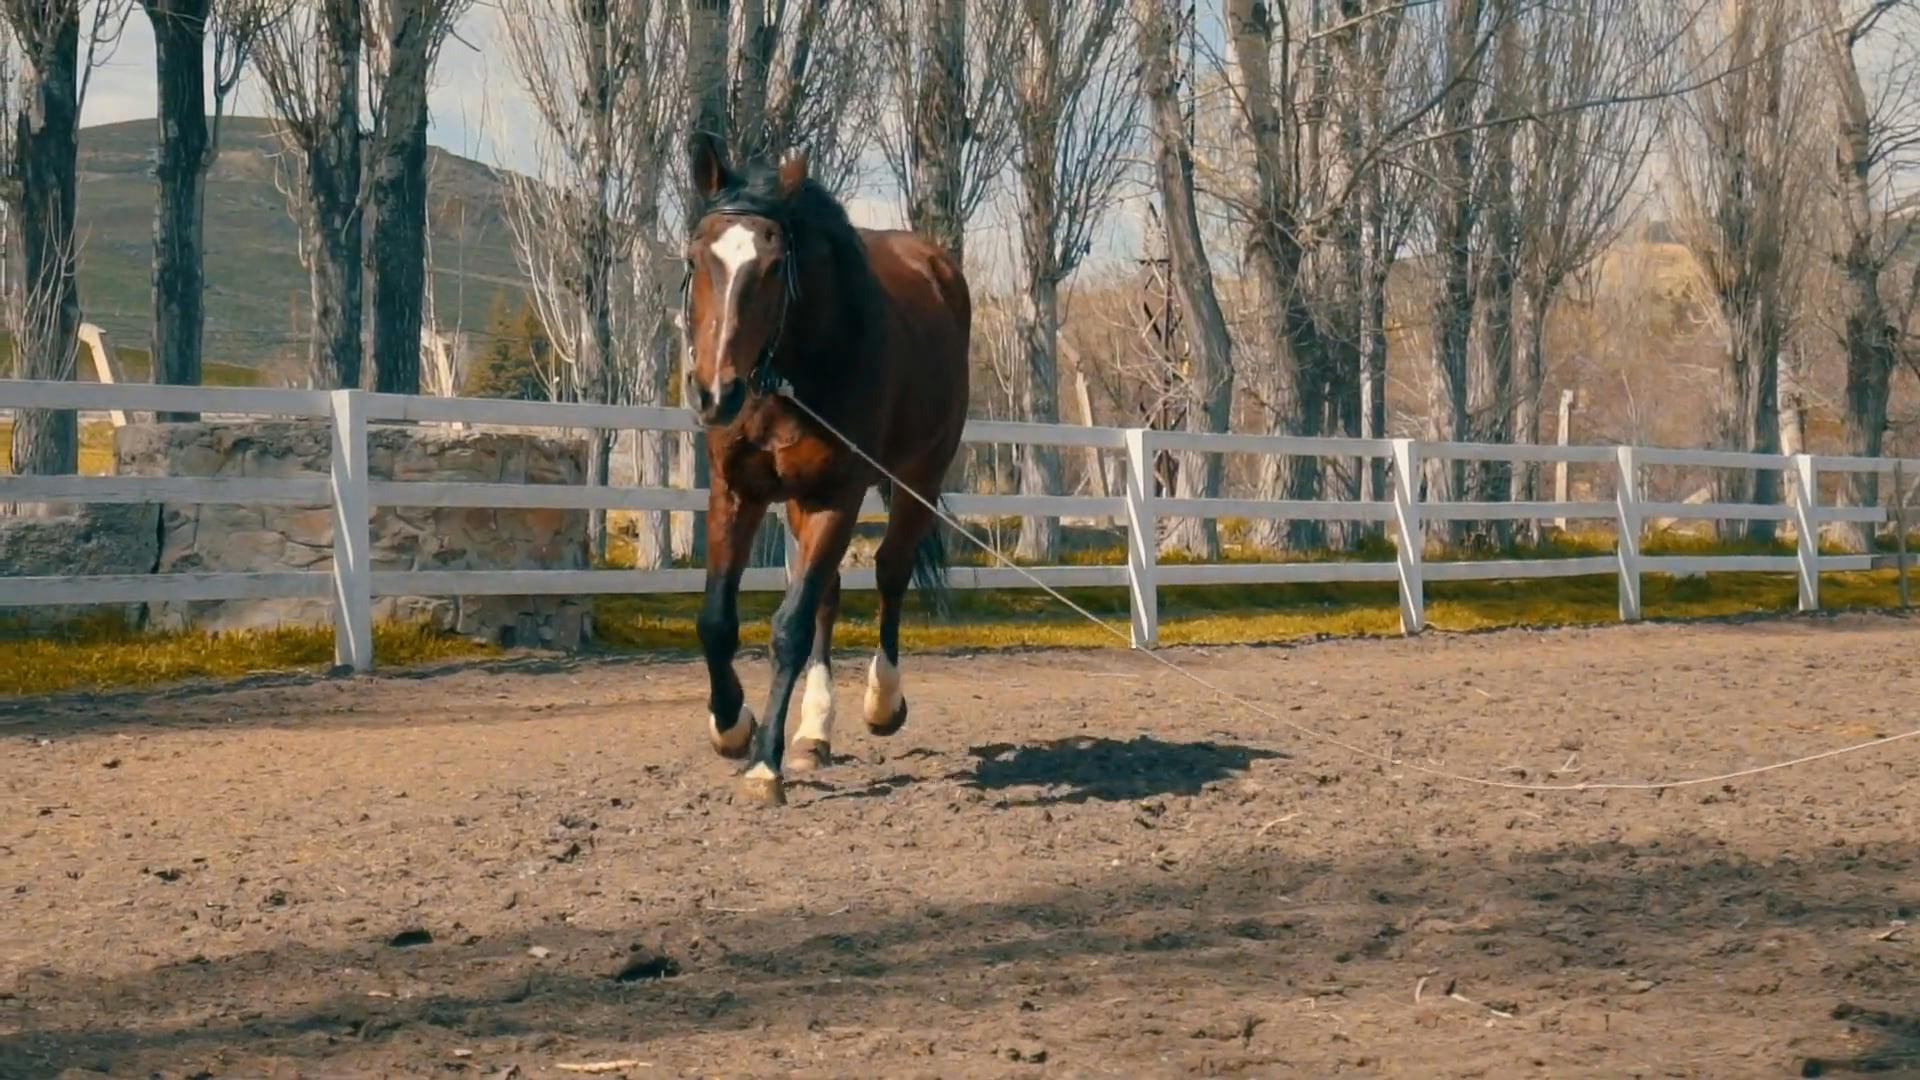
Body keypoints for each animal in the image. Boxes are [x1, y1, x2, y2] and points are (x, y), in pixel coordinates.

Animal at [679, 134, 975, 803]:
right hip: (796, 499)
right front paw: (730, 727)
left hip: (918, 476)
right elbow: (716, 621)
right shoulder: (737, 492)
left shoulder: (837, 497)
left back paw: (882, 702)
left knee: (890, 572)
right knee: (830, 594)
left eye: (771, 267)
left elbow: (787, 627)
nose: (716, 393)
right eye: (696, 257)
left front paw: (764, 764)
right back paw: (813, 732)